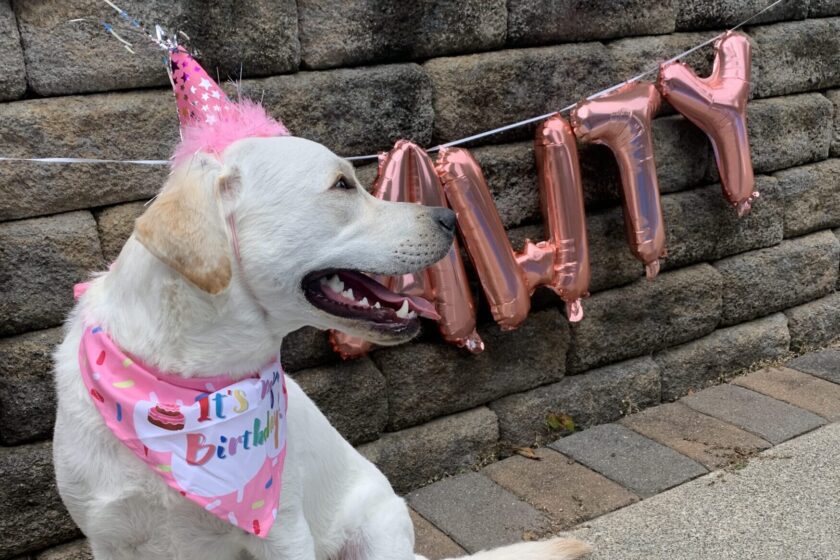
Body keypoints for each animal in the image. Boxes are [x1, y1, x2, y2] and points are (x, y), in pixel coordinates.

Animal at [52, 137, 592, 560]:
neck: (191, 389)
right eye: (342, 185)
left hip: (378, 527)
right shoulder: (110, 540)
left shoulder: (284, 531)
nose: (450, 216)